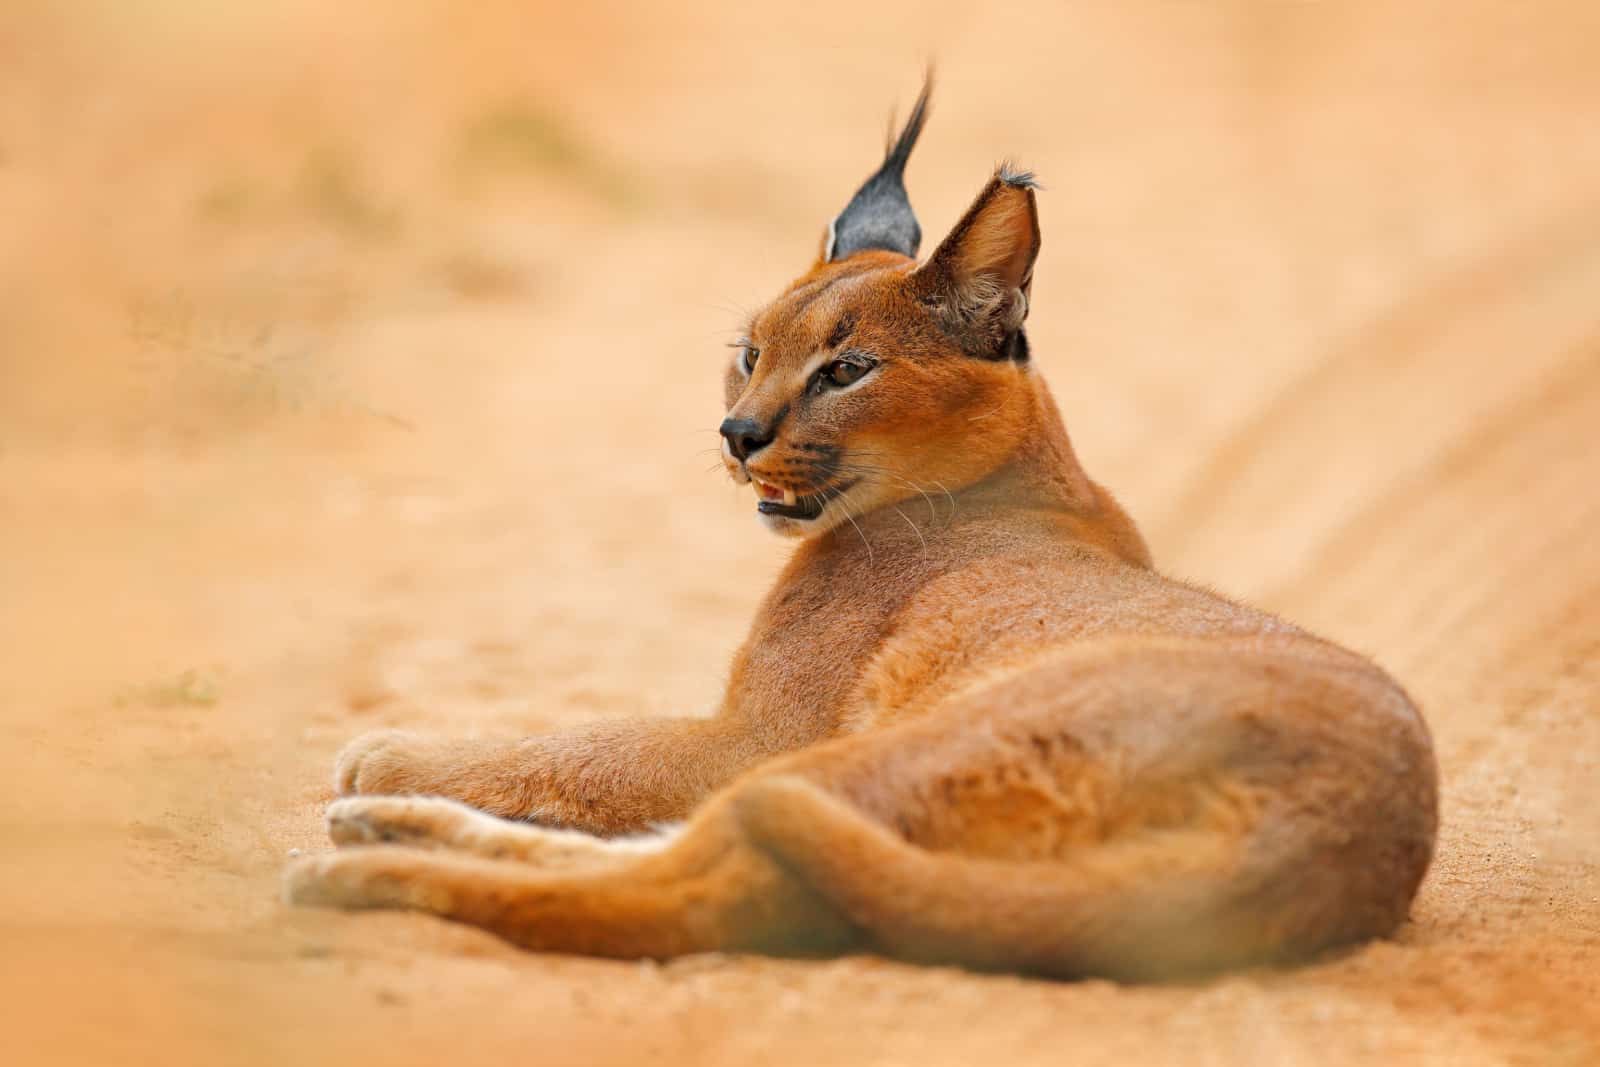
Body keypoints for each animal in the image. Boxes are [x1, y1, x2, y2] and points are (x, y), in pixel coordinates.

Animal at [288, 79, 1440, 979]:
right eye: (747, 352)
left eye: (845, 369)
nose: (737, 432)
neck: (1024, 472)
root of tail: (1343, 837)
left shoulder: (755, 734)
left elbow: (586, 748)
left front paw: (394, 753)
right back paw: (386, 837)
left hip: (916, 743)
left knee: (704, 888)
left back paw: (360, 863)